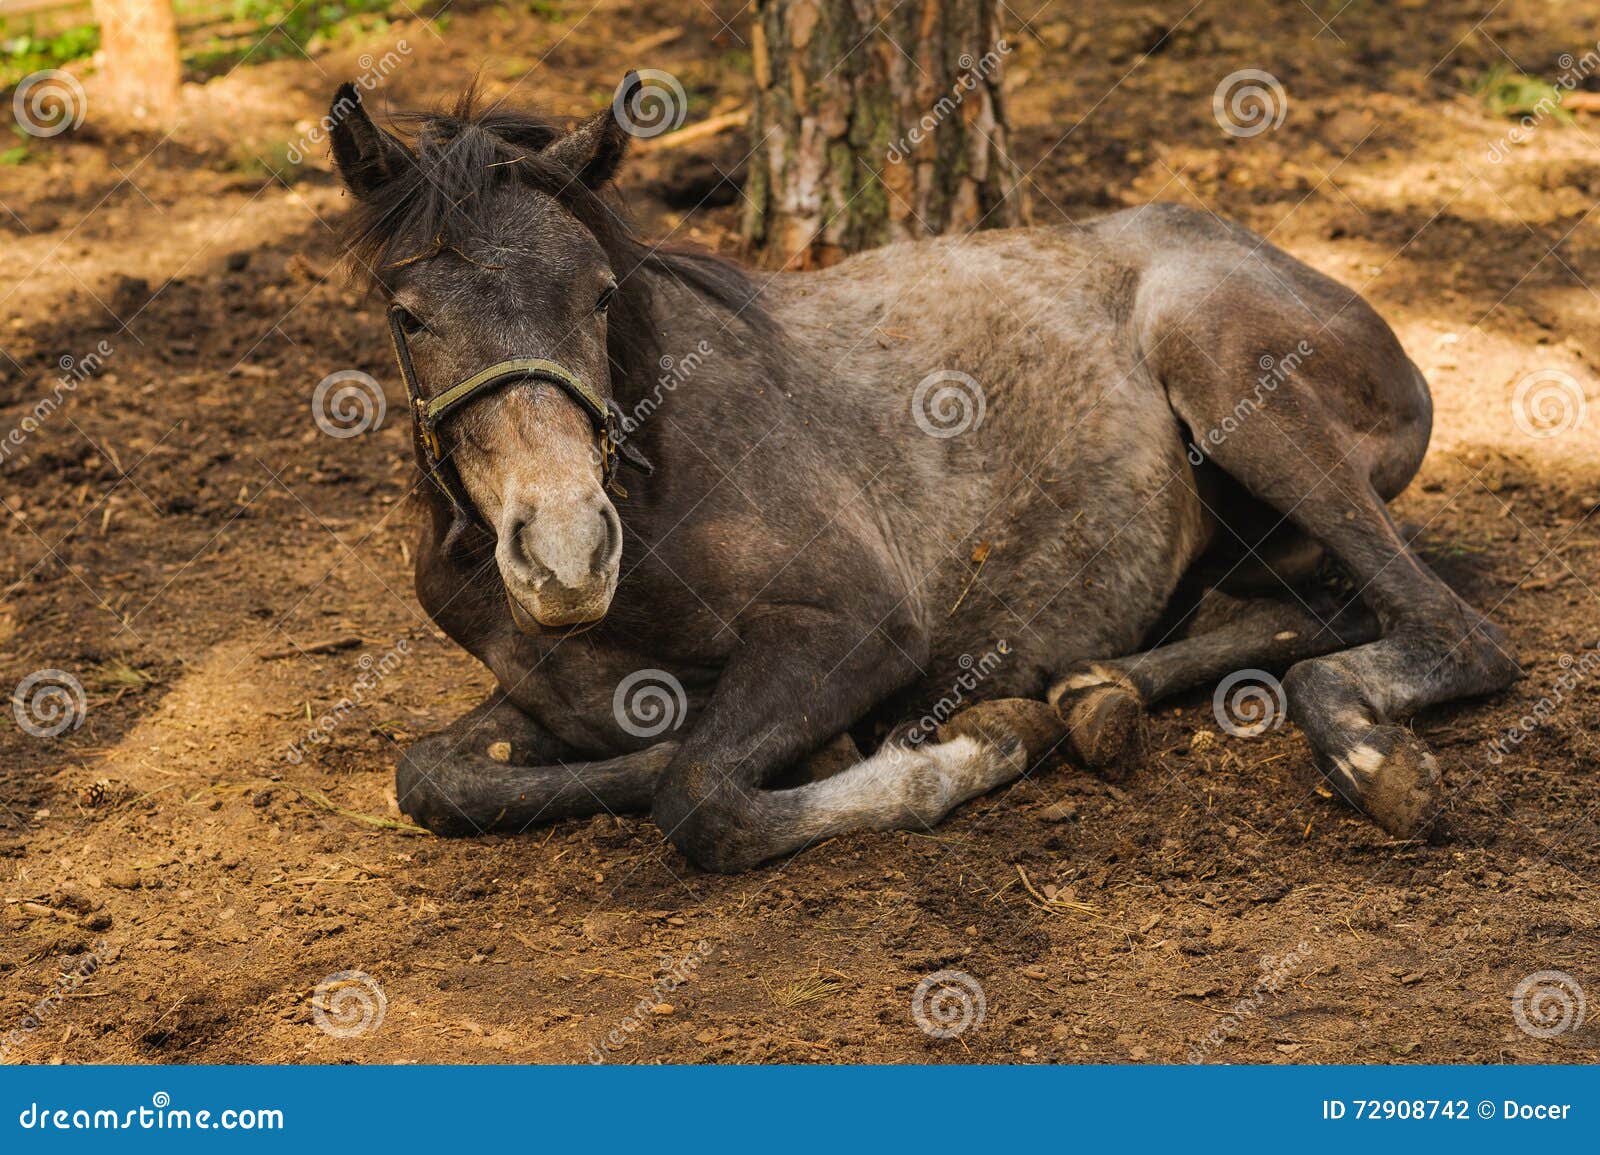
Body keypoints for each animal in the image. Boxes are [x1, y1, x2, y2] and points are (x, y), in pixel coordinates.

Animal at [327, 78, 1517, 873]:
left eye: (600, 296)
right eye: (407, 312)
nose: (568, 556)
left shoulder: (859, 626)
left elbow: (700, 792)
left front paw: (976, 739)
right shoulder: (555, 693)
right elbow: (435, 777)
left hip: (1226, 368)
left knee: (1450, 630)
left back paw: (1372, 761)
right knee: (1303, 611)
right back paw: (1099, 696)